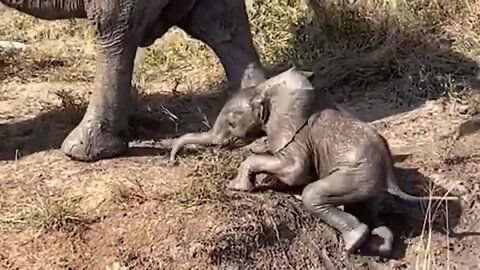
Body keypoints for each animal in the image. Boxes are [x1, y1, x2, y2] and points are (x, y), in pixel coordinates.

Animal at [169, 67, 458, 255]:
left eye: (231, 123)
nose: (172, 161)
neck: (268, 91)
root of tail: (390, 175)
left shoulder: (295, 135)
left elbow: (294, 170)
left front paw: (238, 187)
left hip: (356, 175)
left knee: (313, 194)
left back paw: (352, 242)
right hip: (368, 185)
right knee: (369, 212)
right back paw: (377, 245)